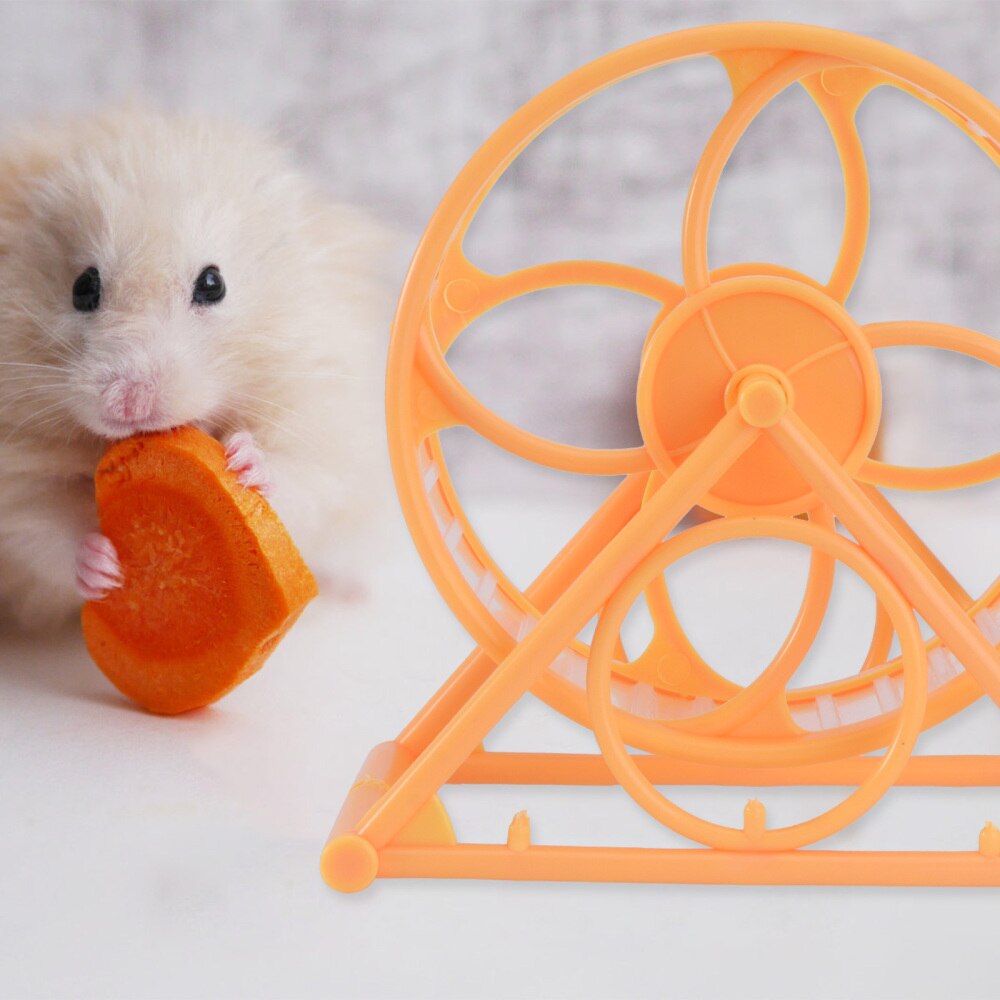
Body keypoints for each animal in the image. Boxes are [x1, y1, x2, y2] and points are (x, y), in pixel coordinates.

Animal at [0, 106, 395, 631]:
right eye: (83, 287)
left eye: (213, 283)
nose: (127, 403)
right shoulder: (17, 475)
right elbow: (44, 522)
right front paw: (105, 568)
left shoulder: (324, 416)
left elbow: (300, 474)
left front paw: (246, 462)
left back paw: (351, 591)